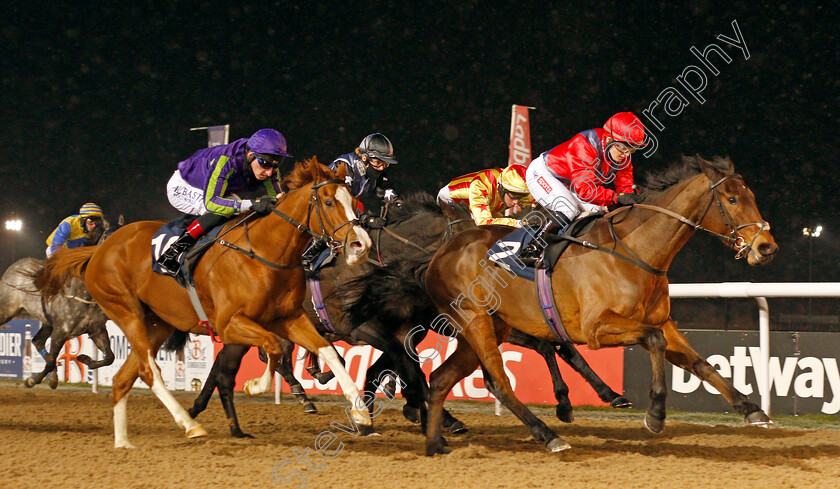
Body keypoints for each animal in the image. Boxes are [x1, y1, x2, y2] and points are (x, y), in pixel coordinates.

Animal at [35, 158, 370, 448]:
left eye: (354, 202)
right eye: (329, 202)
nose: (361, 244)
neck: (265, 252)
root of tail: (100, 249)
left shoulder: (288, 317)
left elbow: (329, 352)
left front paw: (361, 412)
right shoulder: (230, 323)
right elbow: (273, 348)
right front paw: (254, 386)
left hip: (158, 321)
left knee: (122, 378)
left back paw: (123, 443)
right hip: (125, 311)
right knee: (149, 370)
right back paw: (189, 424)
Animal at [426, 156, 780, 454]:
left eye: (751, 196)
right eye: (732, 199)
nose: (766, 248)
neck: (635, 250)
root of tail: (442, 252)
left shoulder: (662, 321)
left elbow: (701, 363)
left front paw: (752, 409)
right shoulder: (596, 328)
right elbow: (654, 341)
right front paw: (655, 413)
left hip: (491, 326)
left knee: (441, 378)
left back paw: (436, 443)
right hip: (475, 321)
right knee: (499, 382)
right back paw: (549, 435)